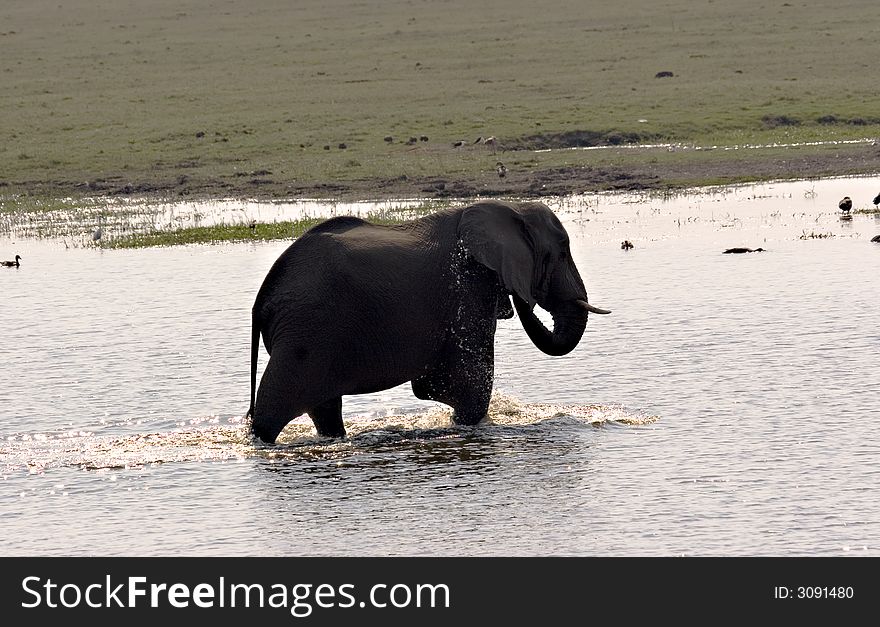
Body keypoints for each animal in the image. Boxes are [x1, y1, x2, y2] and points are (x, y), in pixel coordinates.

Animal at [244, 200, 608, 442]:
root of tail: (261, 301)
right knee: (273, 410)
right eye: (562, 252)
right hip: (305, 333)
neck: (507, 210)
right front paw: (468, 426)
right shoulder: (466, 287)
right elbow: (471, 380)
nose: (523, 298)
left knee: (325, 410)